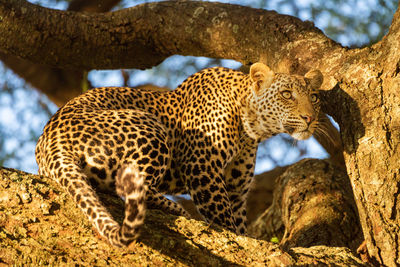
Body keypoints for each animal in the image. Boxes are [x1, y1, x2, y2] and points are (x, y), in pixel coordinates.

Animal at [36, 61, 324, 248]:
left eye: (315, 98)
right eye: (287, 94)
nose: (309, 118)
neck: (252, 129)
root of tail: (52, 140)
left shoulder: (237, 190)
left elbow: (240, 224)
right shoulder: (203, 168)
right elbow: (224, 219)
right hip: (150, 126)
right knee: (129, 187)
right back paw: (175, 207)